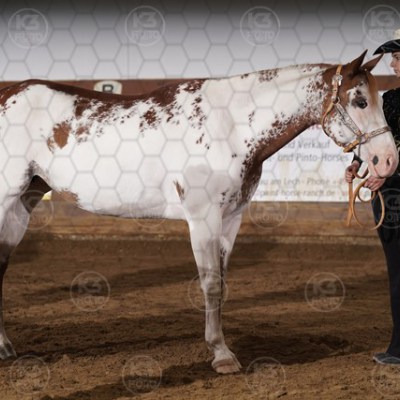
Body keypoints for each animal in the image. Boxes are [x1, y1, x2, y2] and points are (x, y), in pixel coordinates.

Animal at [0, 51, 398, 374]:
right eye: (359, 99)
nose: (388, 160)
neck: (231, 126)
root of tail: (7, 95)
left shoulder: (231, 220)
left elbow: (222, 283)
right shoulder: (203, 218)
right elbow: (210, 284)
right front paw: (222, 356)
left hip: (23, 205)